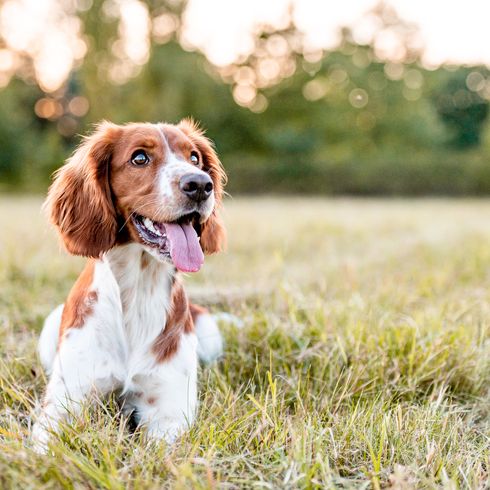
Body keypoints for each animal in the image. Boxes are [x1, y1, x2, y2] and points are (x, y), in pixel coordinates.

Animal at [31, 118, 227, 452]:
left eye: (194, 158)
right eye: (139, 158)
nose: (200, 184)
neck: (138, 291)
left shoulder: (169, 412)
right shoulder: (63, 403)